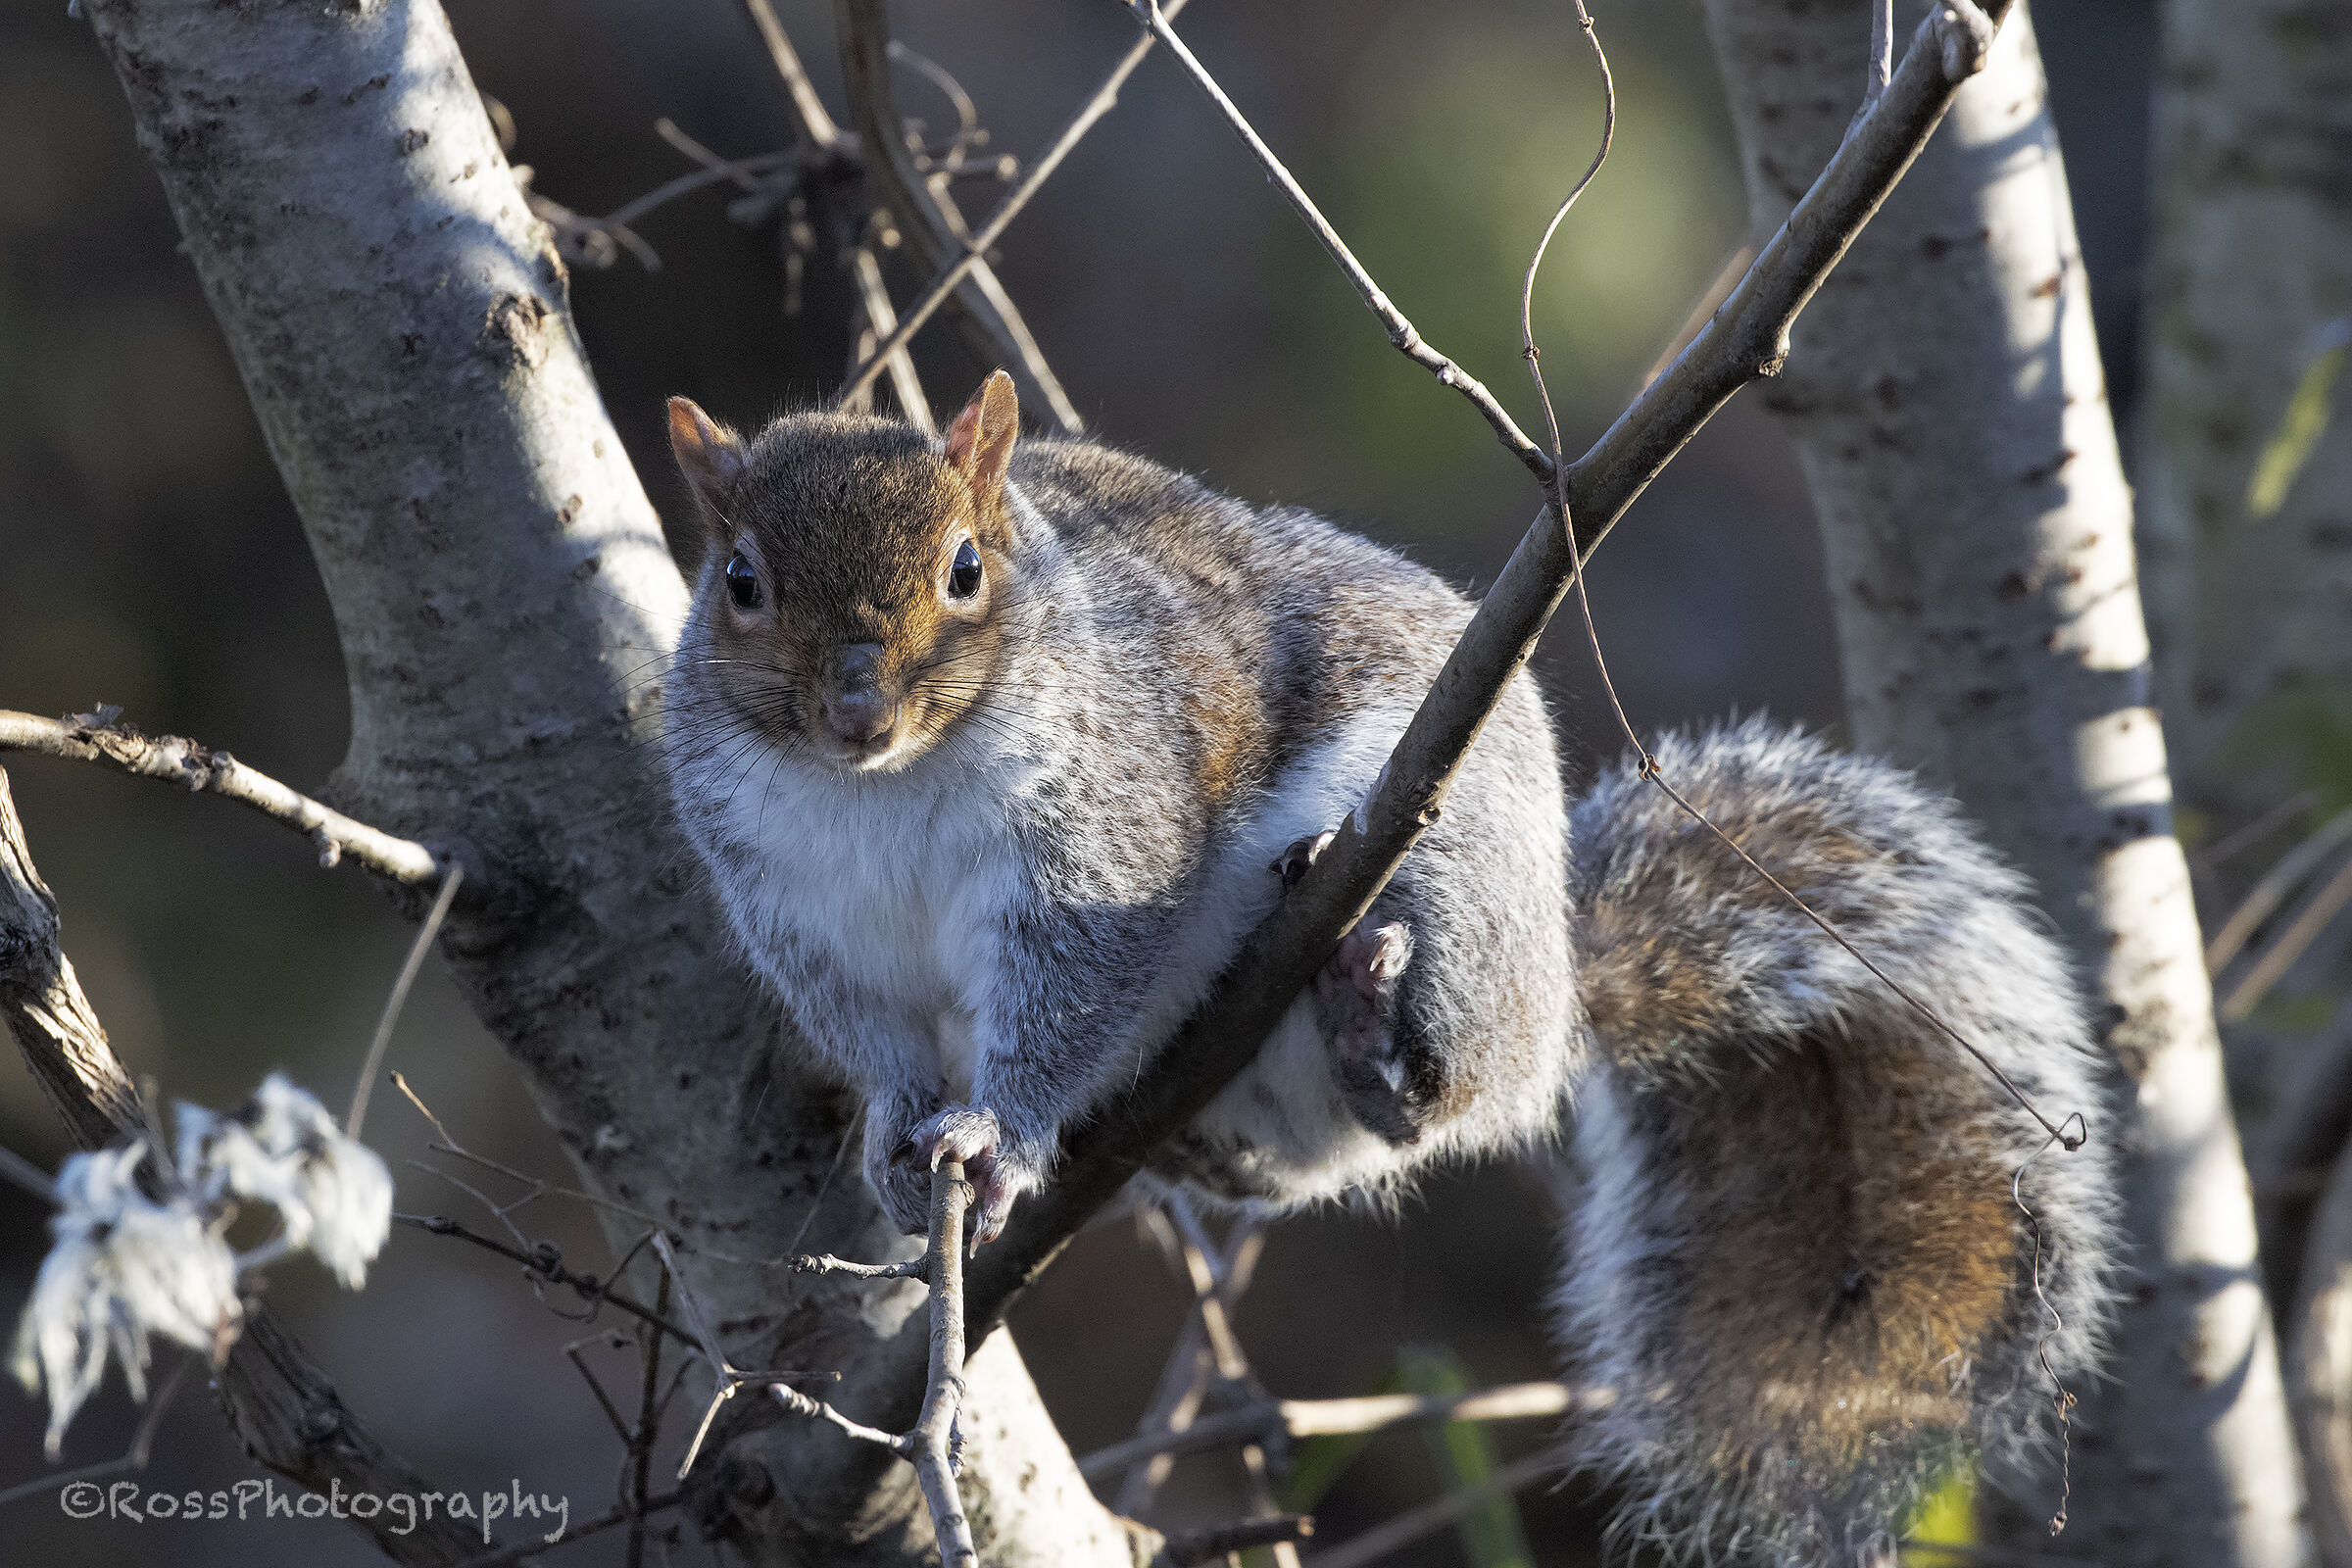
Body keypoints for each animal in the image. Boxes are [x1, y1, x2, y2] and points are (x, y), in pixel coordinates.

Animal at [659, 371, 2115, 1564]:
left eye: (967, 566)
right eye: (738, 580)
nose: (859, 709)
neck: (880, 792)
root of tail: (1557, 991)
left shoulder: (1101, 837)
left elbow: (1074, 984)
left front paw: (997, 1139)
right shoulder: (797, 914)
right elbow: (872, 1038)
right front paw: (900, 1142)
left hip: (1451, 867)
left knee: (1436, 1093)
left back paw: (1370, 1026)